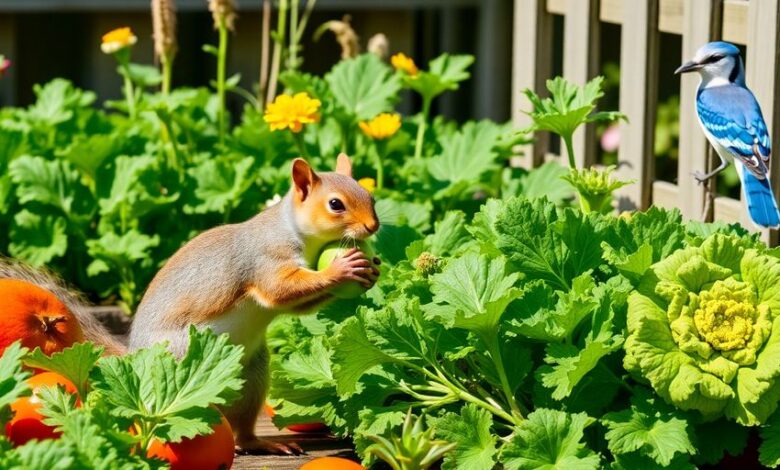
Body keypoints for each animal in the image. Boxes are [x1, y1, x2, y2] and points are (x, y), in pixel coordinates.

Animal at [0, 154, 380, 456]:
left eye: (371, 196)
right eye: (335, 204)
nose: (373, 226)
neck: (298, 233)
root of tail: (135, 358)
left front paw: (371, 272)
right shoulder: (265, 259)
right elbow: (279, 290)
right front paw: (340, 269)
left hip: (253, 373)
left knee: (242, 424)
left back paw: (259, 442)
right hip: (182, 356)